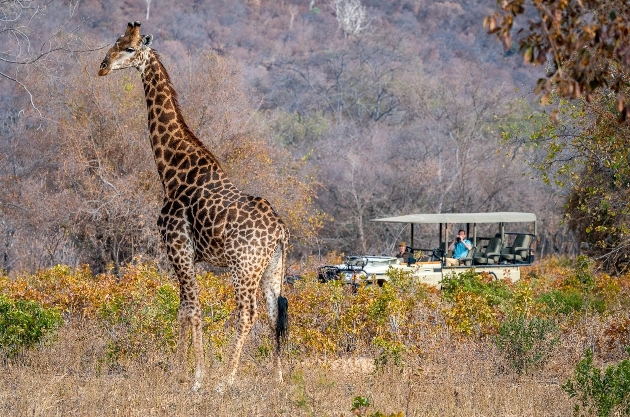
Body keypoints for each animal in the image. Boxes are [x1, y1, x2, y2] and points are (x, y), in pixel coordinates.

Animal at [97, 20, 290, 390]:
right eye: (114, 42)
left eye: (129, 49)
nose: (102, 67)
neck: (172, 170)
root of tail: (279, 233)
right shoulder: (188, 255)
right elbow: (184, 308)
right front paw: (180, 369)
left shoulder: (178, 248)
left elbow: (191, 308)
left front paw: (197, 376)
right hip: (272, 268)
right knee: (276, 314)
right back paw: (277, 379)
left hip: (243, 267)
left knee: (247, 314)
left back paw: (226, 380)